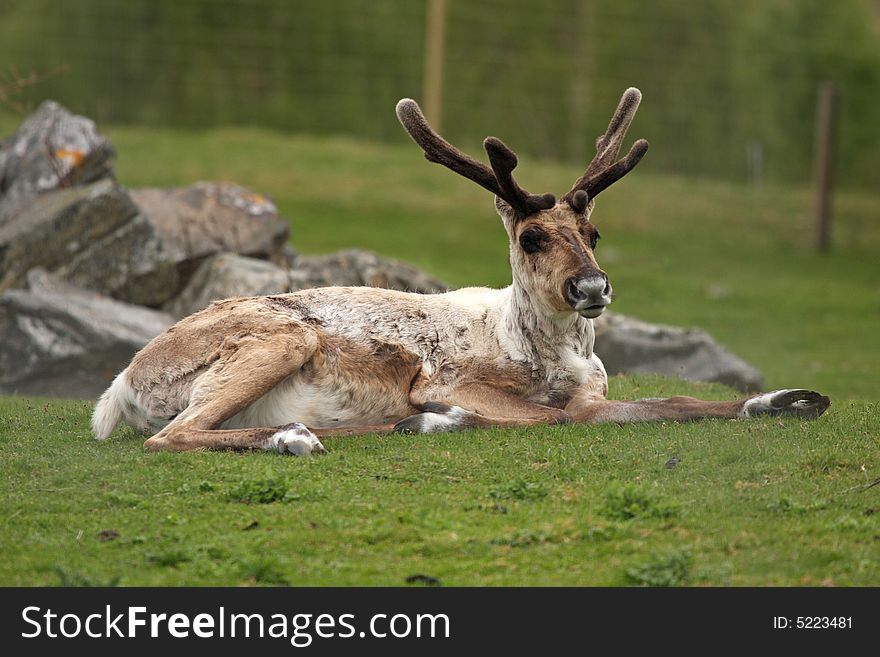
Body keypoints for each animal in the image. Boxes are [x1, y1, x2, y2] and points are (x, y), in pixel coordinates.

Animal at [93, 88, 828, 456]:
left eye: (593, 233)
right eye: (531, 236)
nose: (591, 286)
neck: (550, 356)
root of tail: (120, 388)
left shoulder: (596, 393)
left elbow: (675, 403)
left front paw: (792, 399)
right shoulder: (446, 378)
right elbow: (549, 420)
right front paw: (441, 418)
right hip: (282, 339)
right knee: (171, 436)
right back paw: (324, 434)